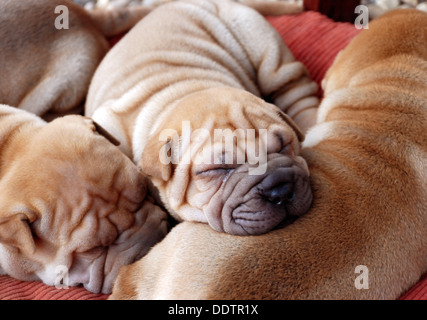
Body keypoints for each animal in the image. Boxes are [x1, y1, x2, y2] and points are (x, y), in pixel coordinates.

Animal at [87, 0, 320, 235]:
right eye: (217, 170)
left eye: (283, 146)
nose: (280, 190)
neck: (182, 90)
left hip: (264, 48)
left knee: (297, 90)